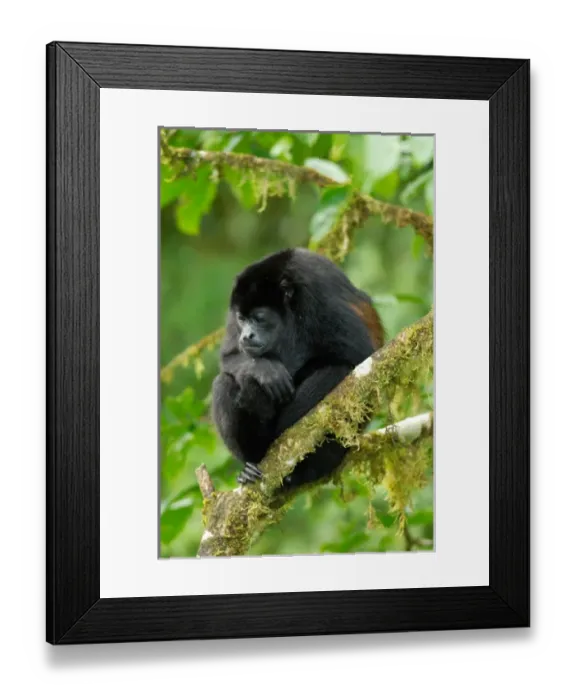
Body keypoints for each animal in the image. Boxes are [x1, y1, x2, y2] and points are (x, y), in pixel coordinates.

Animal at [211, 247, 385, 490]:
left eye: (259, 318)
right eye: (242, 319)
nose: (246, 335)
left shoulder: (317, 296)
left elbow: (360, 355)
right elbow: (229, 357)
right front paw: (266, 370)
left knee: (336, 371)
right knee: (224, 382)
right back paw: (250, 465)